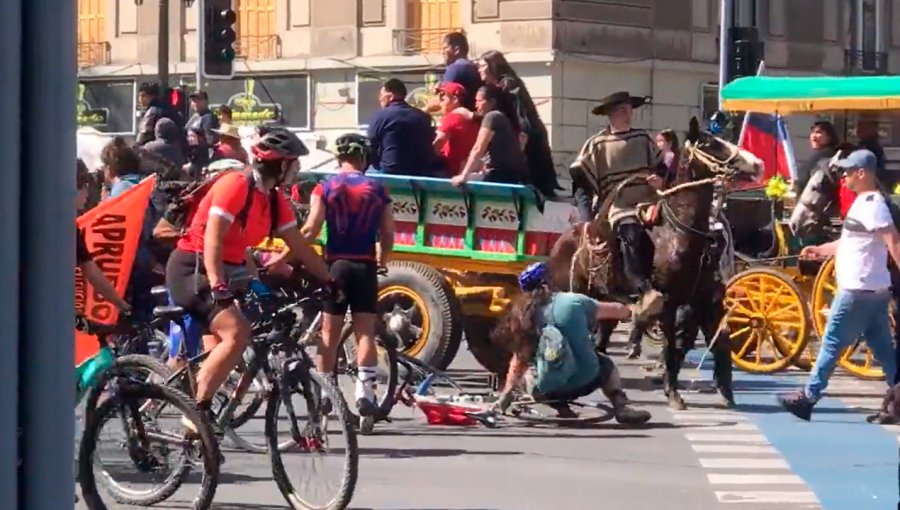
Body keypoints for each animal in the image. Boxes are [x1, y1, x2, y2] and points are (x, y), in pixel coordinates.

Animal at [548, 117, 760, 408]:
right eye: (709, 143)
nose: (757, 164)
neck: (679, 234)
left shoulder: (706, 302)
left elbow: (719, 342)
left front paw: (726, 391)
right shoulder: (669, 304)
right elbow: (670, 348)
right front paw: (673, 394)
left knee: (600, 339)